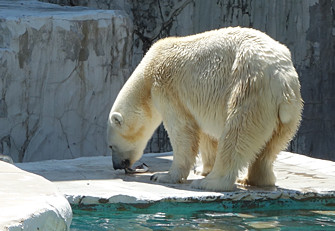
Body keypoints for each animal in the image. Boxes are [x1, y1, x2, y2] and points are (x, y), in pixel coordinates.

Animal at [108, 27, 304, 191]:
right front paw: (202, 168)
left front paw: (164, 176)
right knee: (270, 147)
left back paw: (210, 182)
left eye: (110, 146)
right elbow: (205, 134)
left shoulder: (167, 89)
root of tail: (282, 81)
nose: (117, 165)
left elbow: (182, 131)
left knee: (237, 135)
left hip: (249, 90)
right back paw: (252, 179)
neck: (147, 72)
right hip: (289, 113)